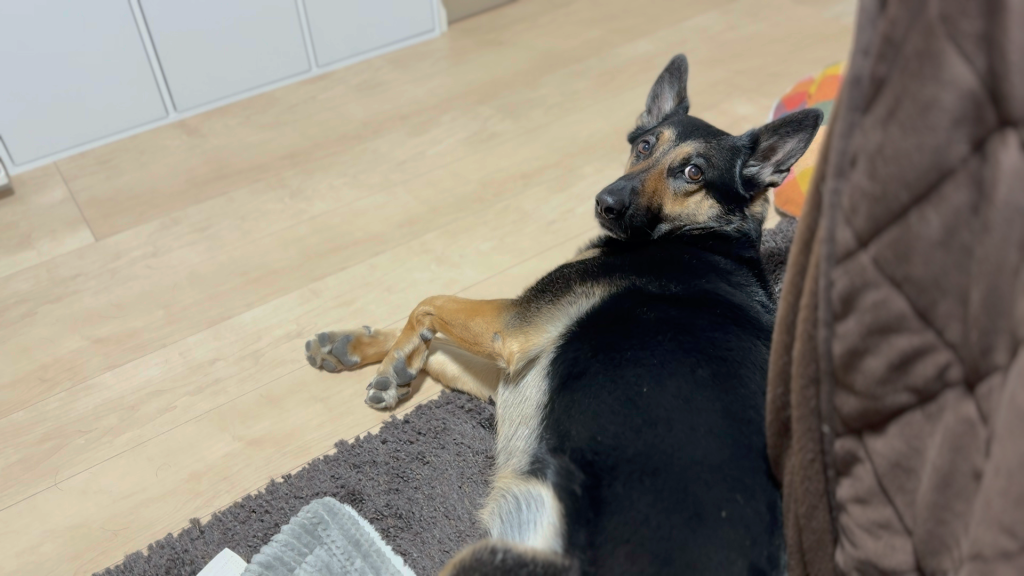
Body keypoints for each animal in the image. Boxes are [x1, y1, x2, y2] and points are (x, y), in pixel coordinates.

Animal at [305, 54, 822, 575]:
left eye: (693, 172)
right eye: (645, 146)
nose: (606, 202)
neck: (703, 238)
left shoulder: (510, 331)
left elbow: (427, 303)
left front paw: (396, 363)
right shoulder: (510, 371)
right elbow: (436, 345)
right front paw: (365, 351)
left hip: (486, 554)